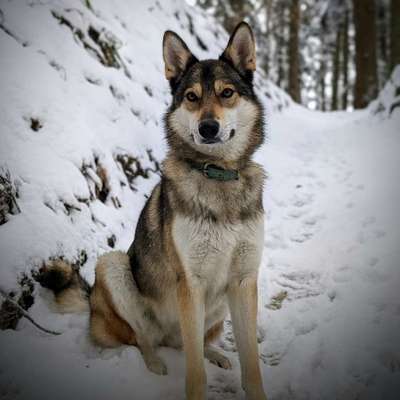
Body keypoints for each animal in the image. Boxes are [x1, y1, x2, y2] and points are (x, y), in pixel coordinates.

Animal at [39, 21, 268, 400]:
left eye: (226, 93)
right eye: (191, 97)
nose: (208, 128)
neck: (217, 175)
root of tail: (92, 305)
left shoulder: (244, 280)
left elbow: (251, 366)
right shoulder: (190, 283)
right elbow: (195, 374)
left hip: (217, 307)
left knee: (191, 343)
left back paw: (215, 353)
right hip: (114, 265)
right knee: (143, 339)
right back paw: (155, 364)